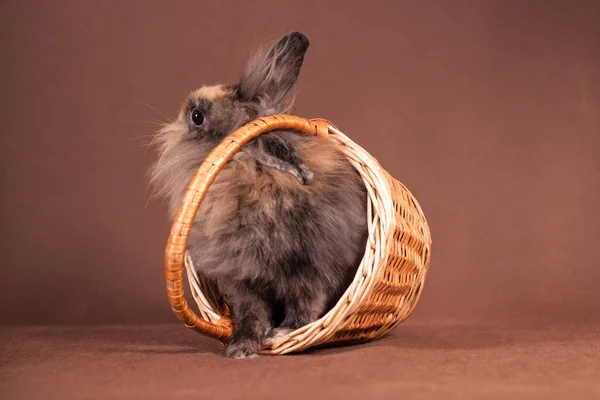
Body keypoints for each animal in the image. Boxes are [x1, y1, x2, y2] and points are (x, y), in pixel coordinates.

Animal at [148, 32, 368, 360]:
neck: (247, 169)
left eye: (197, 116)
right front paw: (241, 347)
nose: (181, 115)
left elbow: (306, 304)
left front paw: (284, 332)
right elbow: (251, 313)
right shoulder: (240, 279)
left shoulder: (310, 267)